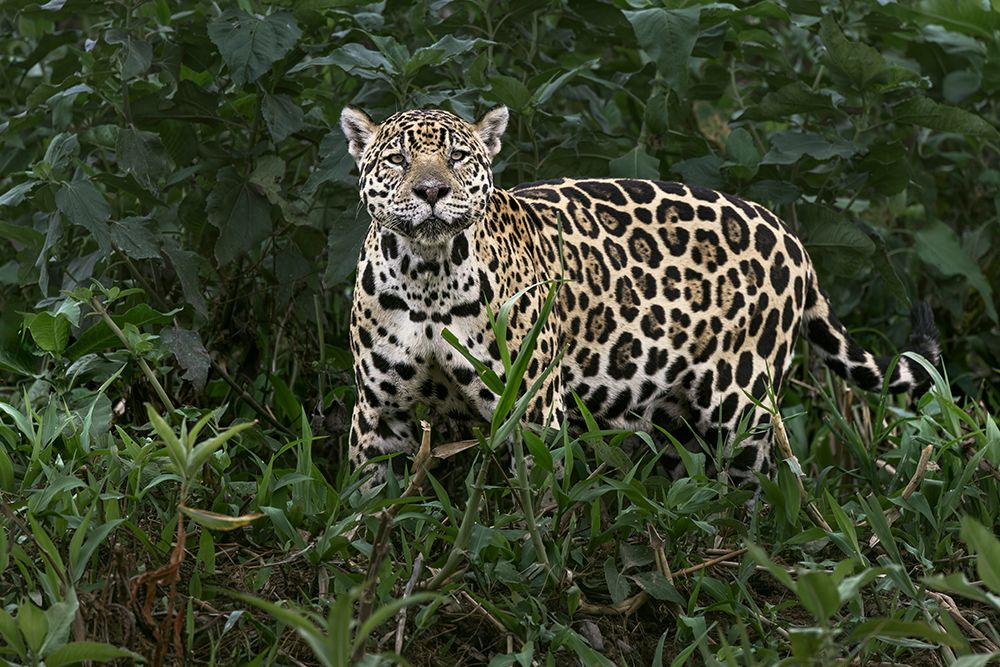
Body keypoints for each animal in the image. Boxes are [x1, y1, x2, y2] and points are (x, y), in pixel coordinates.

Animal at [339, 104, 940, 490]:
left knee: (760, 482)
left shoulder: (531, 411)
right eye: (396, 160)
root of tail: (789, 237)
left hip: (741, 405)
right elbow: (367, 505)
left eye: (459, 158)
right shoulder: (380, 419)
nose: (432, 191)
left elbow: (533, 507)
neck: (428, 276)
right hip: (677, 418)